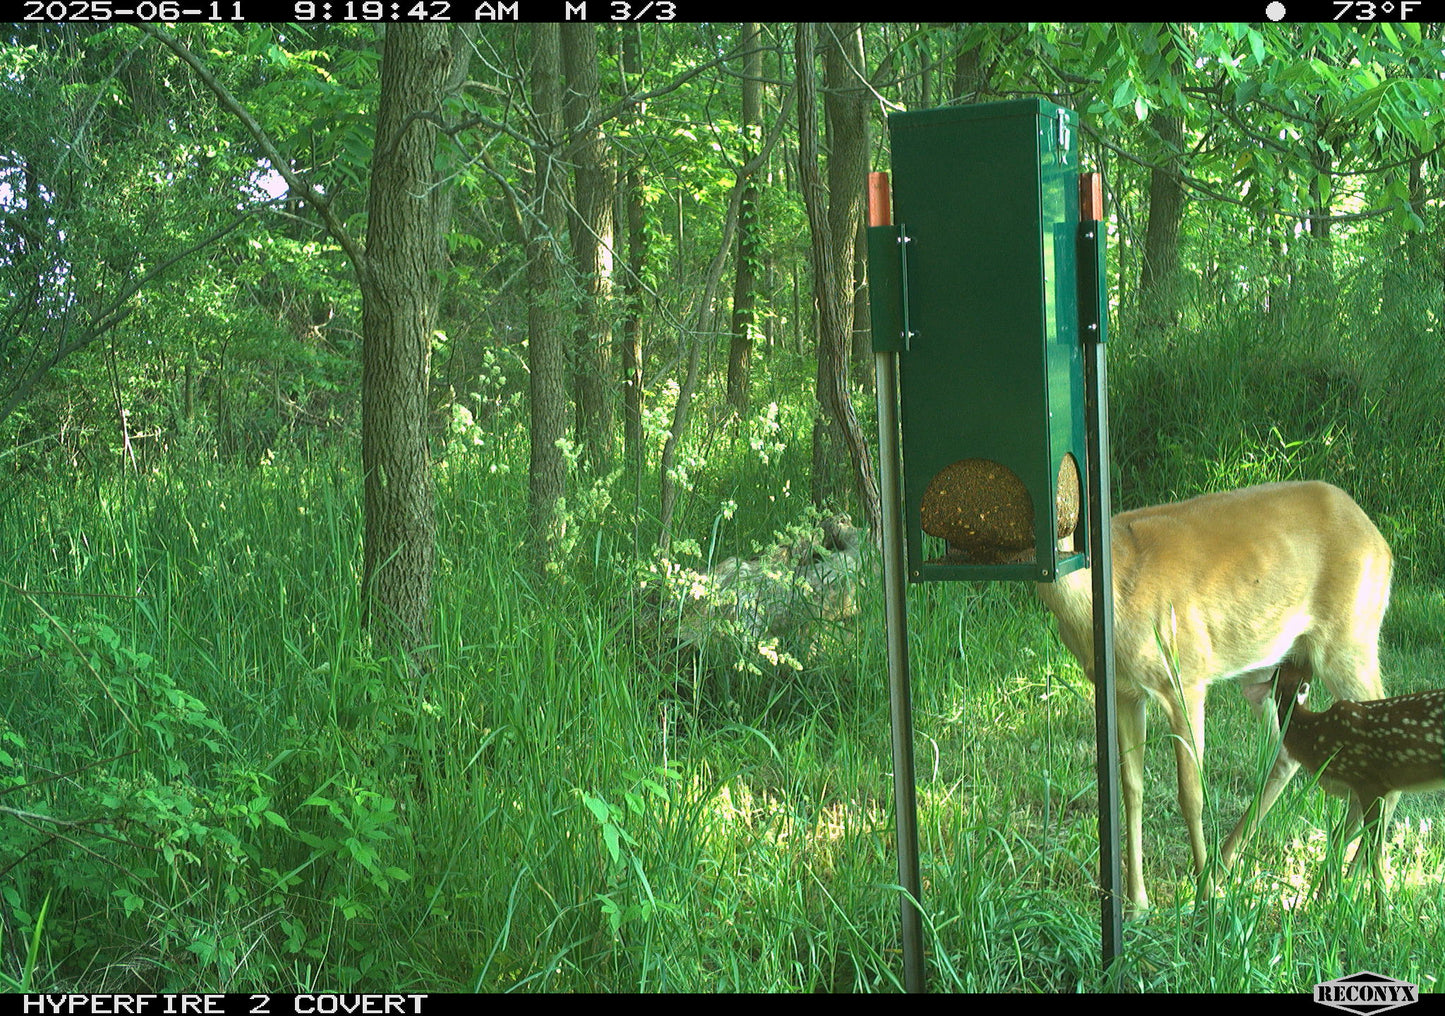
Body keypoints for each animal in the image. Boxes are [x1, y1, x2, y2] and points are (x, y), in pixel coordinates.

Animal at [1033, 480, 1395, 912]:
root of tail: (1379, 542)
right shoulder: (1123, 691)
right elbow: (1131, 789)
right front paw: (1137, 903)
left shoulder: (1186, 677)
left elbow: (1191, 794)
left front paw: (1202, 901)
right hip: (1269, 667)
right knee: (1288, 754)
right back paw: (1308, 883)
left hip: (1350, 639)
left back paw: (1362, 894)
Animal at [1249, 658, 1444, 898]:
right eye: (1282, 670)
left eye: (1294, 669)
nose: (1298, 658)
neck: (1314, 736)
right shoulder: (1360, 790)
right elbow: (1339, 838)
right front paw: (1323, 898)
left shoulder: (1369, 782)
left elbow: (1373, 851)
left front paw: (1378, 907)